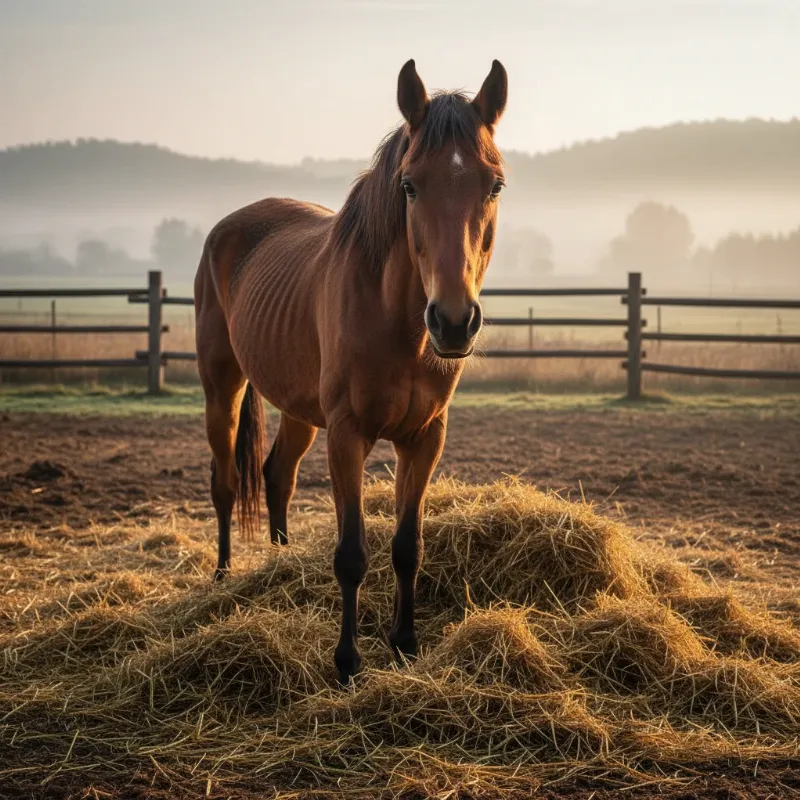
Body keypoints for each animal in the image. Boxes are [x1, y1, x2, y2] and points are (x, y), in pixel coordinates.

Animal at [194, 59, 508, 685]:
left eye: (495, 185)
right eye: (409, 185)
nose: (454, 322)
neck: (399, 325)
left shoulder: (424, 438)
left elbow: (407, 546)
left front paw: (405, 644)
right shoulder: (347, 435)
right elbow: (352, 554)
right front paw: (347, 662)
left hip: (296, 407)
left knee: (276, 475)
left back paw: (279, 562)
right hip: (222, 385)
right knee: (225, 482)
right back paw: (222, 577)